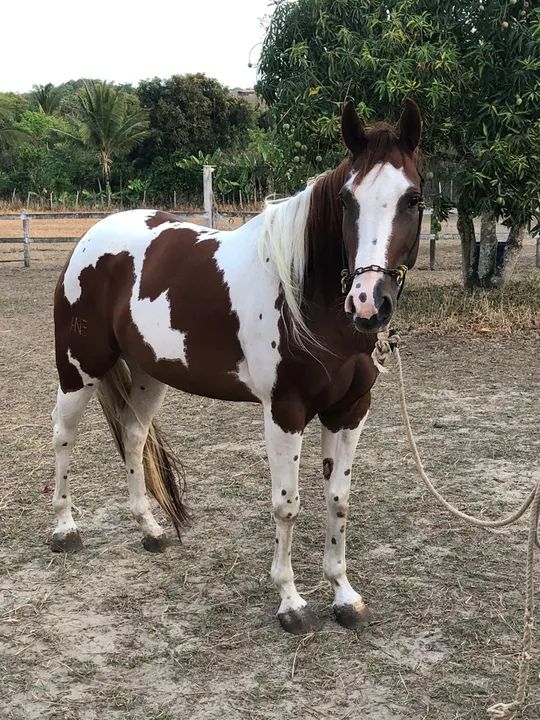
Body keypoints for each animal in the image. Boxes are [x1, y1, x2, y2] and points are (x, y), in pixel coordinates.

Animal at [51, 98, 424, 635]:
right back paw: (64, 529)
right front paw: (291, 602)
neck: (307, 300)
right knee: (64, 436)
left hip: (148, 374)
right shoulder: (285, 411)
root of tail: (90, 238)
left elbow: (338, 500)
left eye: (412, 199)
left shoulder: (351, 410)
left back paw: (150, 529)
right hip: (79, 367)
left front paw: (344, 595)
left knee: (133, 436)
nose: (368, 303)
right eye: (345, 202)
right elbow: (286, 506)